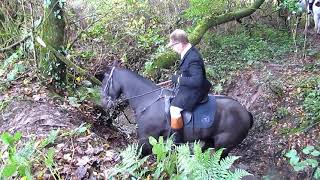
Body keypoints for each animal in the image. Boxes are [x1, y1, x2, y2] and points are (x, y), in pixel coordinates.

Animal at [101, 66, 254, 158]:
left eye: (104, 82)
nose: (103, 103)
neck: (149, 100)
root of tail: (246, 113)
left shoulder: (145, 139)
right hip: (210, 141)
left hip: (223, 148)